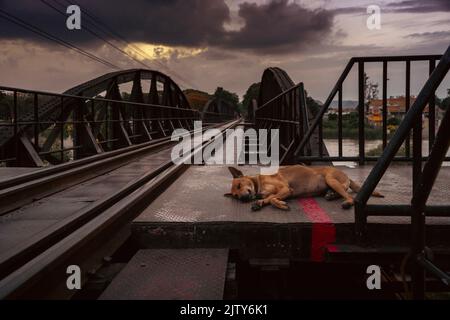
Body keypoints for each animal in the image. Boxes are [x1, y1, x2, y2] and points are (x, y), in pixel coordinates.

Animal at [225, 165, 384, 212]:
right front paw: (259, 203)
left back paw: (346, 202)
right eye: (236, 196)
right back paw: (331, 195)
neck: (258, 184)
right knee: (341, 193)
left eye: (239, 185)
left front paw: (280, 204)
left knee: (349, 196)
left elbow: (273, 199)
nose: (243, 198)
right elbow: (269, 199)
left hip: (331, 179)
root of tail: (347, 176)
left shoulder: (286, 189)